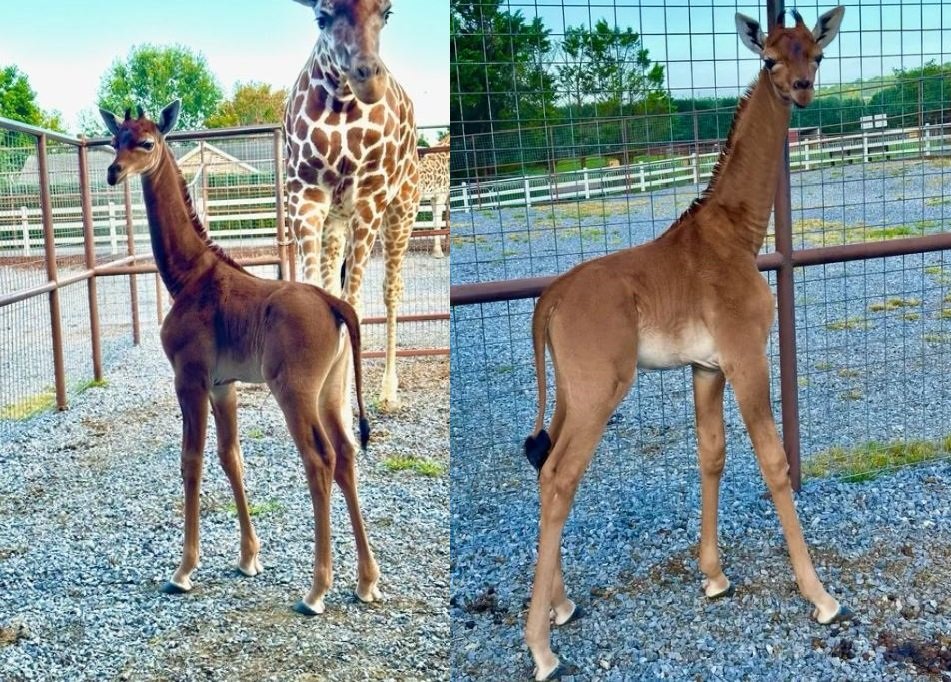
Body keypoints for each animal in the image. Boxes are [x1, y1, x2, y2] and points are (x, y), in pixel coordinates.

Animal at [103, 102, 384, 616]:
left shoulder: (190, 378)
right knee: (347, 455)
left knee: (320, 460)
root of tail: (335, 304)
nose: (114, 172)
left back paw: (316, 591)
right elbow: (230, 455)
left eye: (147, 142)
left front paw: (184, 570)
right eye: (116, 140)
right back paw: (366, 581)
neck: (188, 276)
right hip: (332, 392)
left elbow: (191, 459)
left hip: (295, 392)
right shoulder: (223, 385)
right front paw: (249, 558)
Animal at [284, 0, 422, 410]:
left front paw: (343, 408)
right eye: (322, 17)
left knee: (391, 289)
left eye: (387, 12)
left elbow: (354, 304)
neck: (342, 105)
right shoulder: (305, 196)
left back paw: (389, 392)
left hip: (401, 209)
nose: (368, 79)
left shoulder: (369, 199)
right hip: (336, 220)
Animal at [528, 7, 848, 676]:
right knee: (559, 478)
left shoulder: (707, 367)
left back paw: (561, 606)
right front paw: (821, 596)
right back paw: (542, 649)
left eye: (817, 54)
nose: (802, 89)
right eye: (769, 59)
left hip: (570, 392)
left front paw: (714, 576)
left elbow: (712, 454)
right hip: (600, 391)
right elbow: (774, 462)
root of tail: (549, 301)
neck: (739, 234)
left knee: (544, 466)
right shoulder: (747, 356)